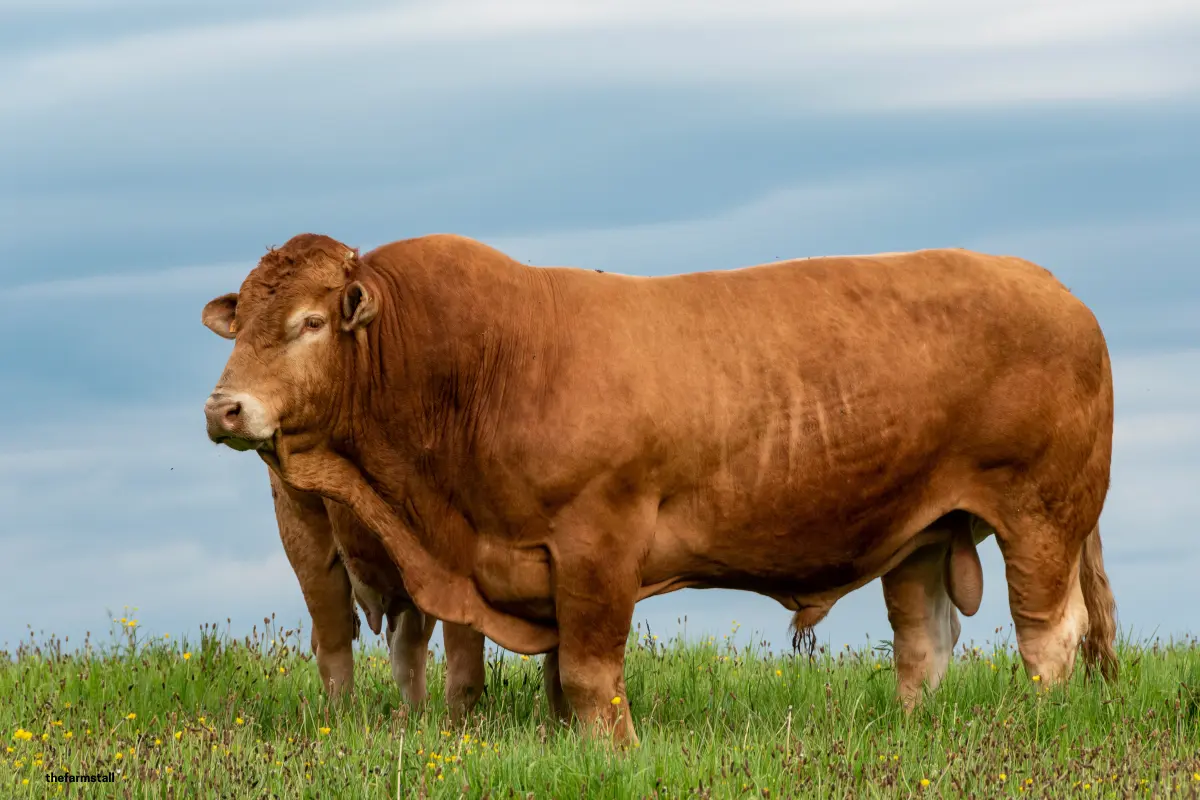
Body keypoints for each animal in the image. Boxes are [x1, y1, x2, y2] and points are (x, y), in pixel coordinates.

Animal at [201, 233, 1118, 745]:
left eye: (308, 323)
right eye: (241, 322)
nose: (223, 407)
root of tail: (1055, 288)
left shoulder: (598, 542)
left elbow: (587, 675)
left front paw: (617, 751)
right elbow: (552, 678)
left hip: (1043, 515)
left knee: (1050, 635)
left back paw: (1037, 722)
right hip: (925, 532)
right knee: (925, 642)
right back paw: (911, 731)